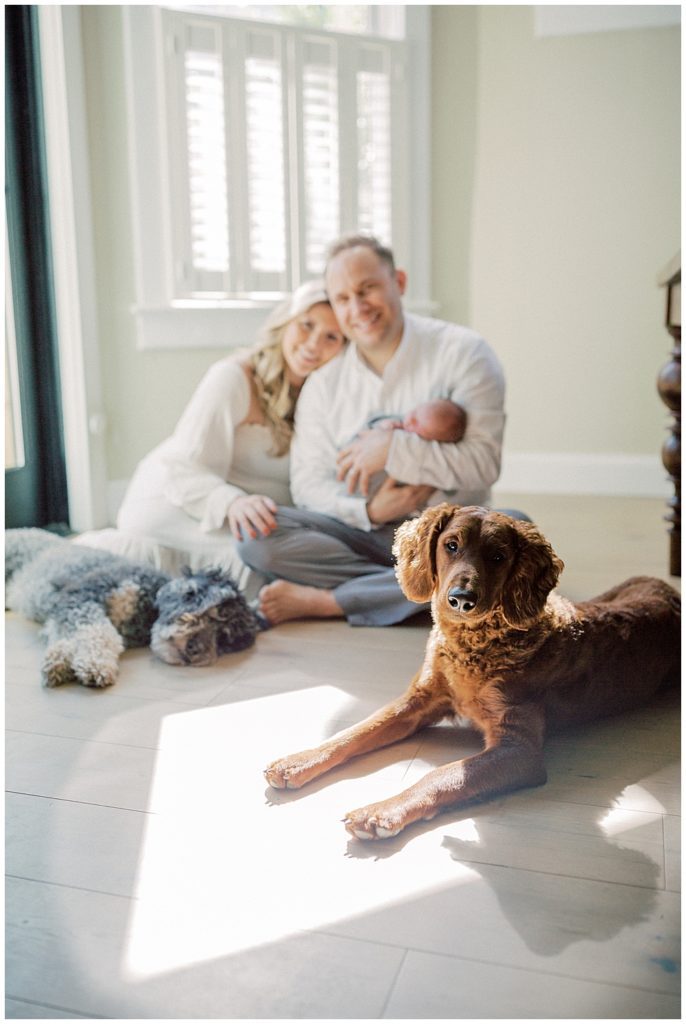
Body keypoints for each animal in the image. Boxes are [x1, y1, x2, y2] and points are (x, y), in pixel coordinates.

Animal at [4, 528, 261, 688]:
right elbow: (99, 632)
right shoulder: (81, 596)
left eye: (224, 638)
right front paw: (95, 665)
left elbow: (67, 637)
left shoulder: (65, 611)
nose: (194, 650)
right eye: (214, 612)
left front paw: (60, 662)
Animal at [264, 503, 683, 839]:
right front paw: (298, 761)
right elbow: (357, 730)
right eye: (451, 545)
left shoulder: (519, 749)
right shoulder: (420, 699)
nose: (461, 600)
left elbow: (444, 774)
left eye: (498, 557)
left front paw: (381, 812)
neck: (472, 648)